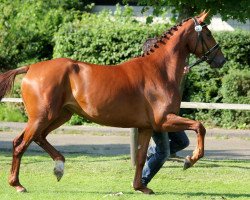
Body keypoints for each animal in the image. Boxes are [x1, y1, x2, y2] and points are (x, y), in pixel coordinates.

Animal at [0, 11, 226, 194]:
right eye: (207, 33)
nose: (221, 60)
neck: (159, 71)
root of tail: (30, 68)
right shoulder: (164, 120)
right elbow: (200, 126)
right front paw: (190, 160)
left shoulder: (146, 127)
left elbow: (142, 157)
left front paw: (140, 187)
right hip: (42, 117)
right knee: (20, 144)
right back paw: (18, 185)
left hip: (60, 115)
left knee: (38, 138)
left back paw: (59, 167)